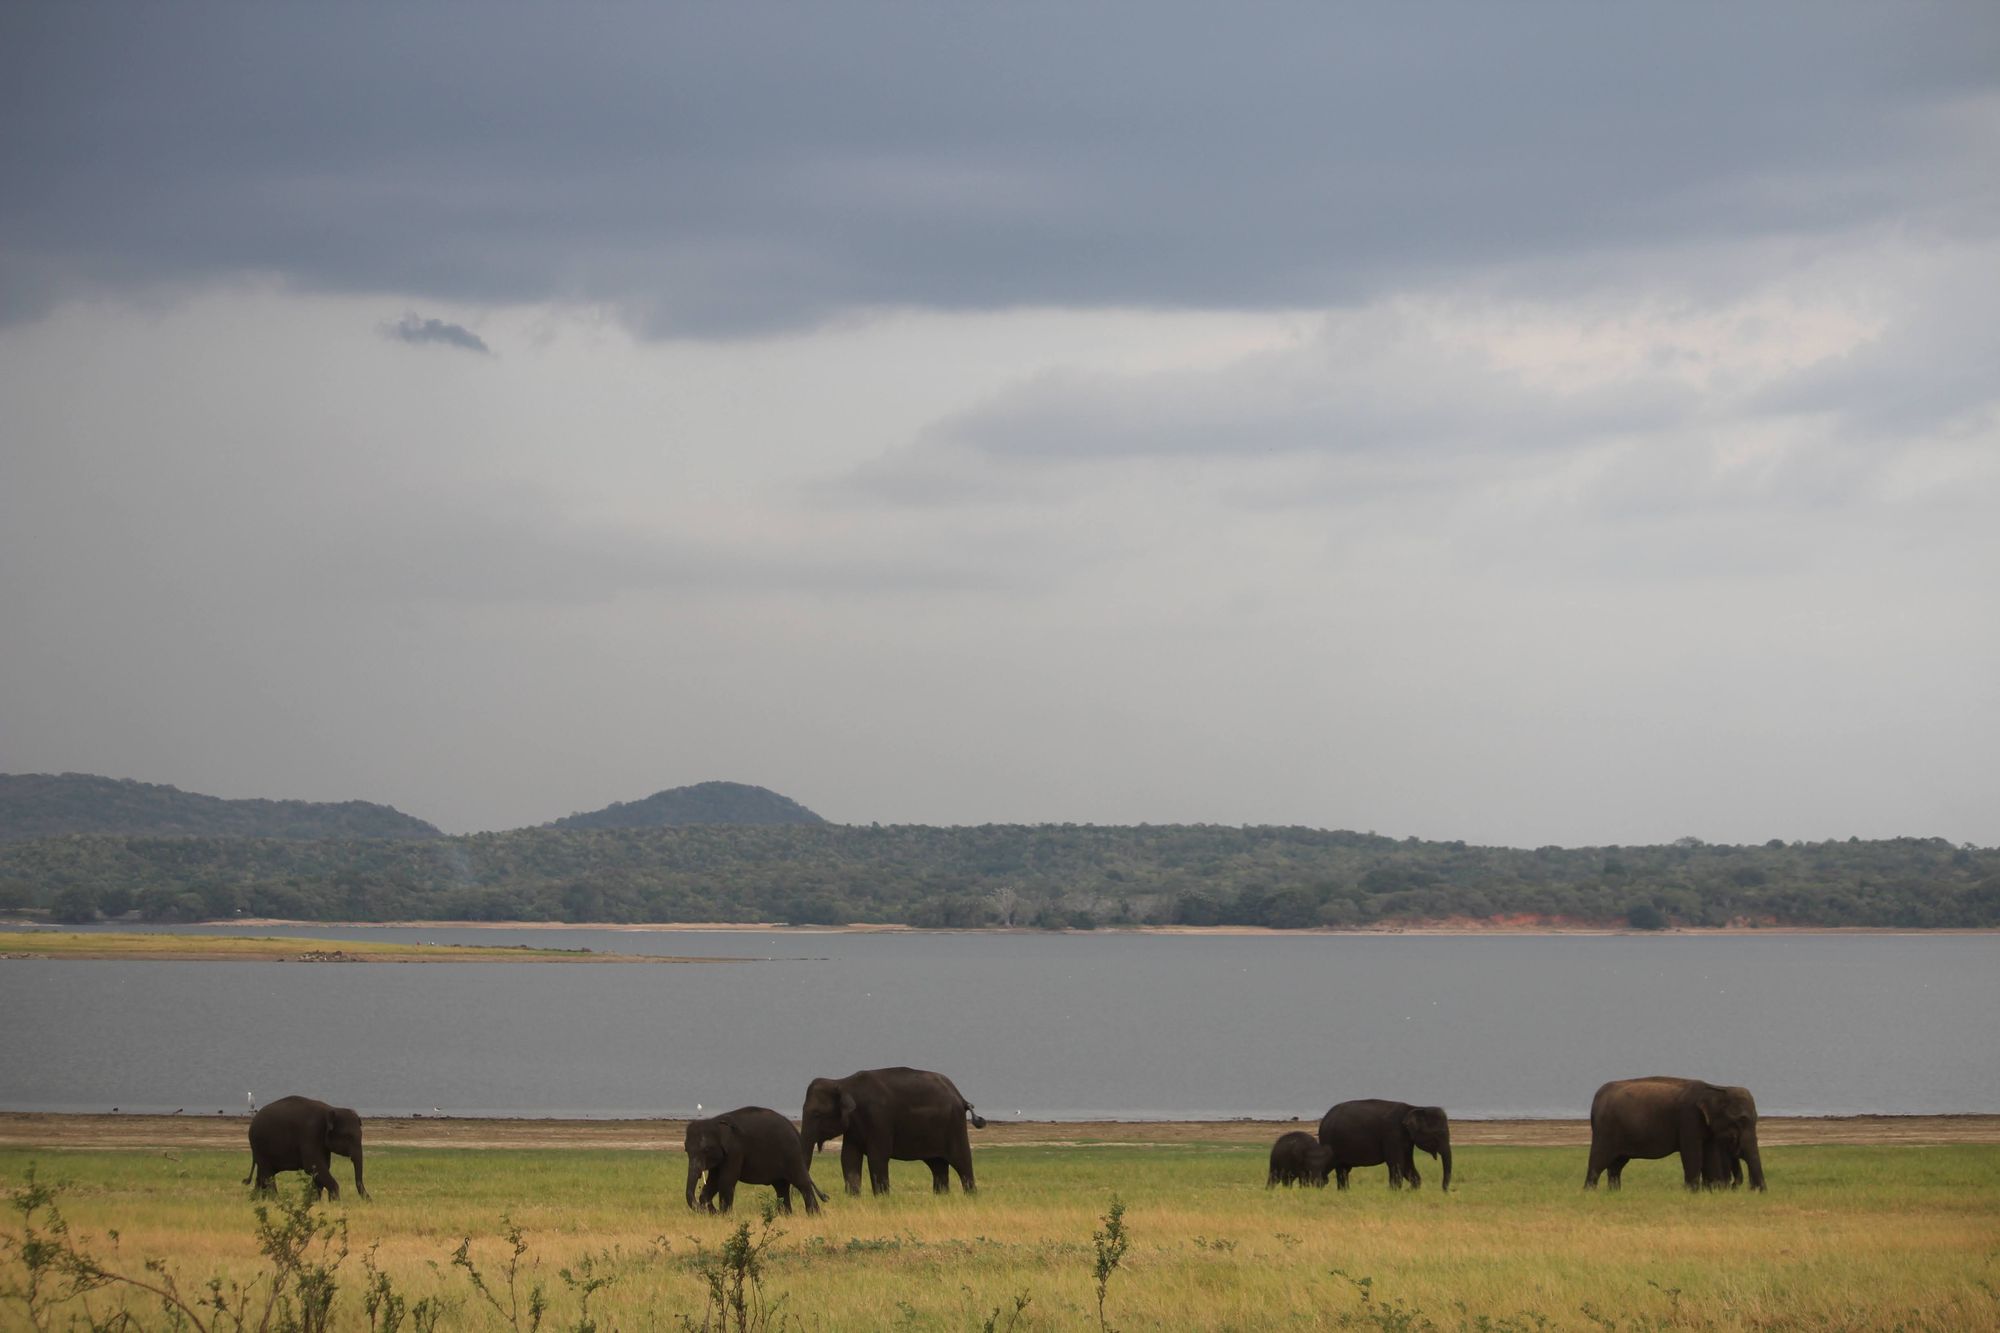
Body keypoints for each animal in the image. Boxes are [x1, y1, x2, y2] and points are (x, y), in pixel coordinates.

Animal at [680, 1096, 820, 1216]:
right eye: (686, 1150)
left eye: (706, 1150)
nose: (706, 1209)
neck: (715, 1122)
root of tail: (795, 1129)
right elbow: (713, 1182)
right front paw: (714, 1213)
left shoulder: (735, 1150)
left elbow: (726, 1180)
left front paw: (724, 1216)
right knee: (781, 1187)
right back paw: (786, 1216)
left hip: (792, 1153)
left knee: (801, 1183)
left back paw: (813, 1215)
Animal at [796, 1064, 984, 1184]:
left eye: (817, 1114)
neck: (842, 1083)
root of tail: (960, 1097)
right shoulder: (853, 1127)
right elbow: (849, 1159)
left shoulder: (878, 1118)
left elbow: (877, 1157)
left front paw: (880, 1200)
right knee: (938, 1166)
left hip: (954, 1125)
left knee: (962, 1163)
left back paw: (970, 1196)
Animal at [1312, 1096, 1456, 1184]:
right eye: (1438, 1134)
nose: (1444, 1191)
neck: (1415, 1107)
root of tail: (1324, 1119)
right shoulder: (1393, 1134)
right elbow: (1397, 1164)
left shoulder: (1406, 1140)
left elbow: (1407, 1165)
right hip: (1330, 1140)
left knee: (1343, 1170)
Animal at [1584, 1072, 1760, 1184]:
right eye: (1741, 1120)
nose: (1757, 1191)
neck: (1717, 1089)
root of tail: (1597, 1098)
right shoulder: (1688, 1118)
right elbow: (1692, 1154)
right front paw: (1693, 1192)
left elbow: (1710, 1155)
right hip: (1605, 1131)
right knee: (1597, 1164)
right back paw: (1589, 1193)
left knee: (1616, 1166)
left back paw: (1614, 1193)